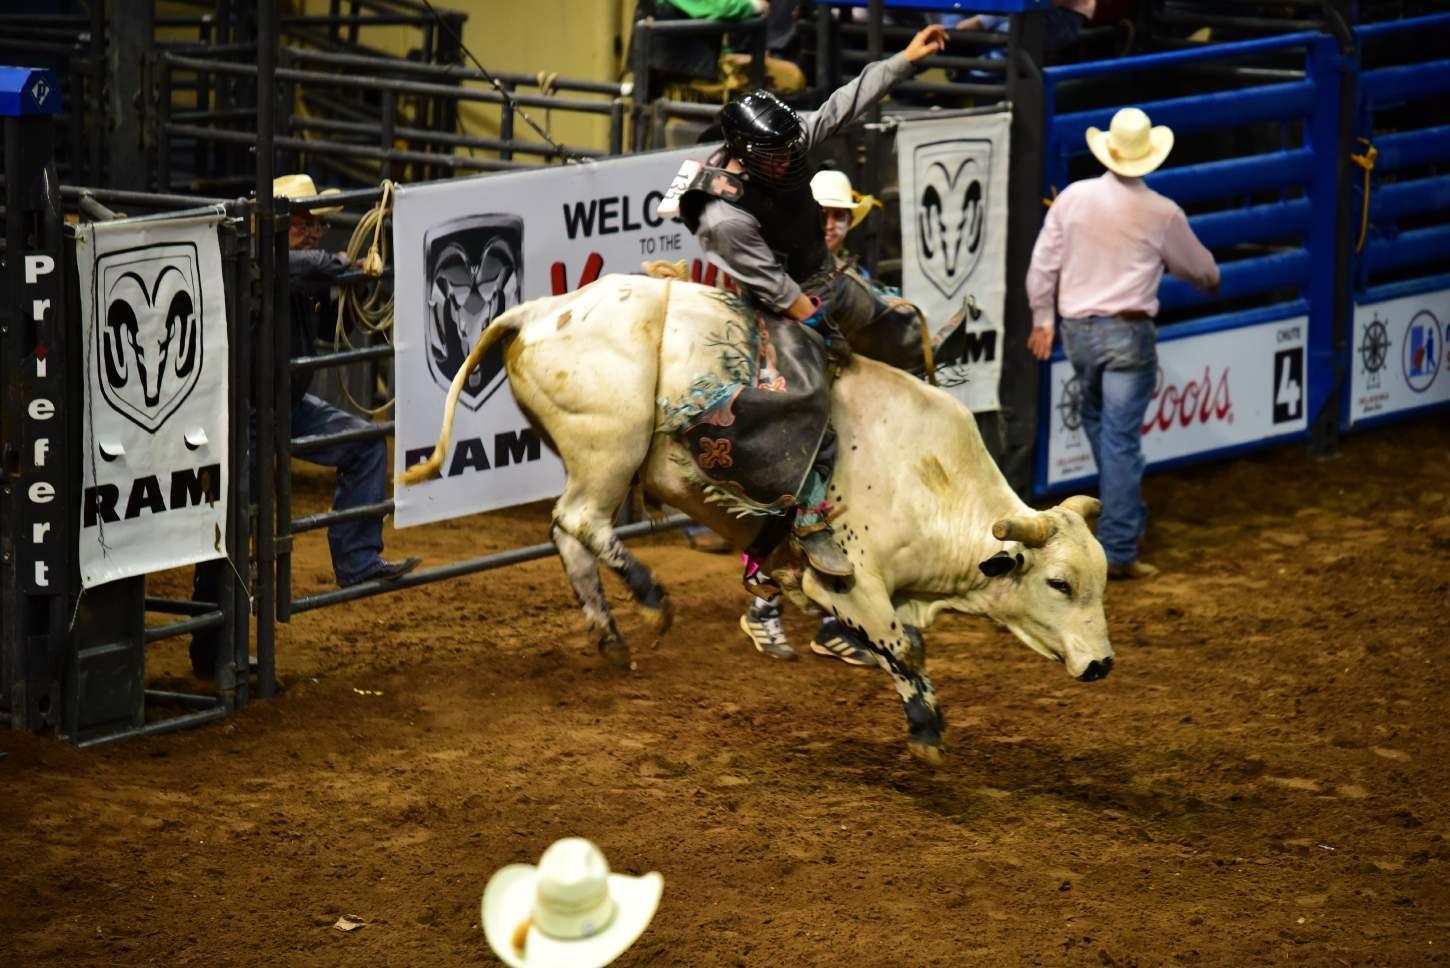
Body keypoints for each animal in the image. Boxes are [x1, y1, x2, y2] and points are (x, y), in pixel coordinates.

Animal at [403, 273, 1113, 765]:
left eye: (1099, 582)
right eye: (1058, 583)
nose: (1104, 665)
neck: (932, 476)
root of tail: (539, 310)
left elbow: (899, 641)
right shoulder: (849, 582)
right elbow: (904, 647)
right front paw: (927, 733)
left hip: (593, 457)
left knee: (567, 532)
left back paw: (610, 635)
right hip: (610, 445)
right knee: (579, 520)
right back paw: (651, 598)